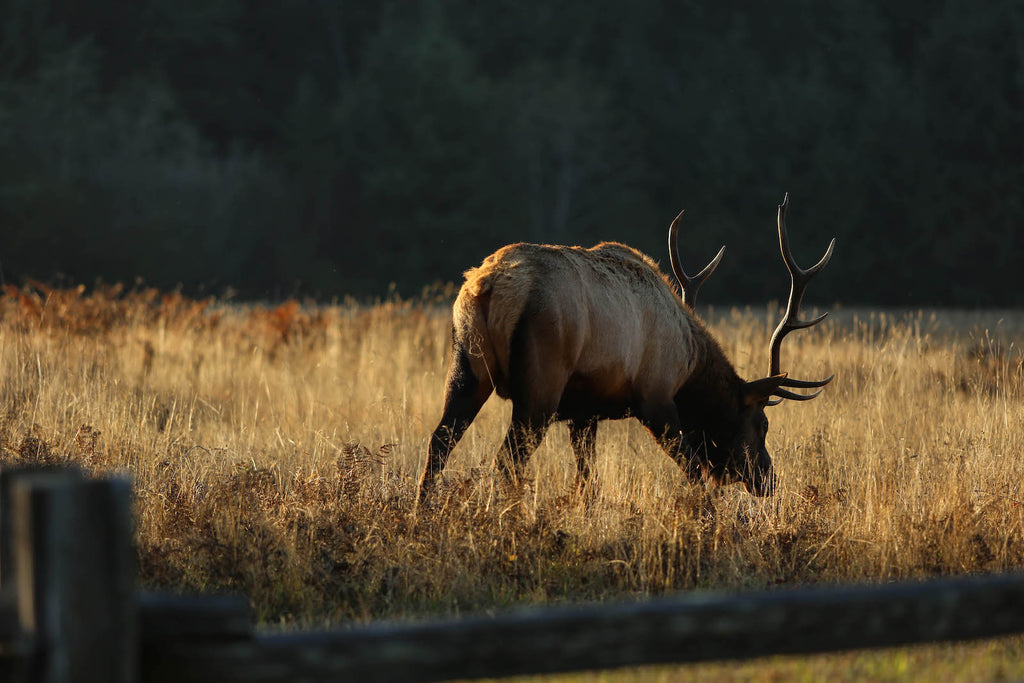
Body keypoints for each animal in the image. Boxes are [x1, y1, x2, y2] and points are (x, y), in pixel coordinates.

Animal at [413, 193, 831, 501]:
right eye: (762, 423)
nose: (769, 480)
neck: (689, 365)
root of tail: (488, 286)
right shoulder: (655, 397)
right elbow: (693, 470)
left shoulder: (584, 412)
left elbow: (586, 481)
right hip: (540, 382)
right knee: (506, 461)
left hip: (467, 367)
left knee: (438, 443)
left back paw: (423, 514)